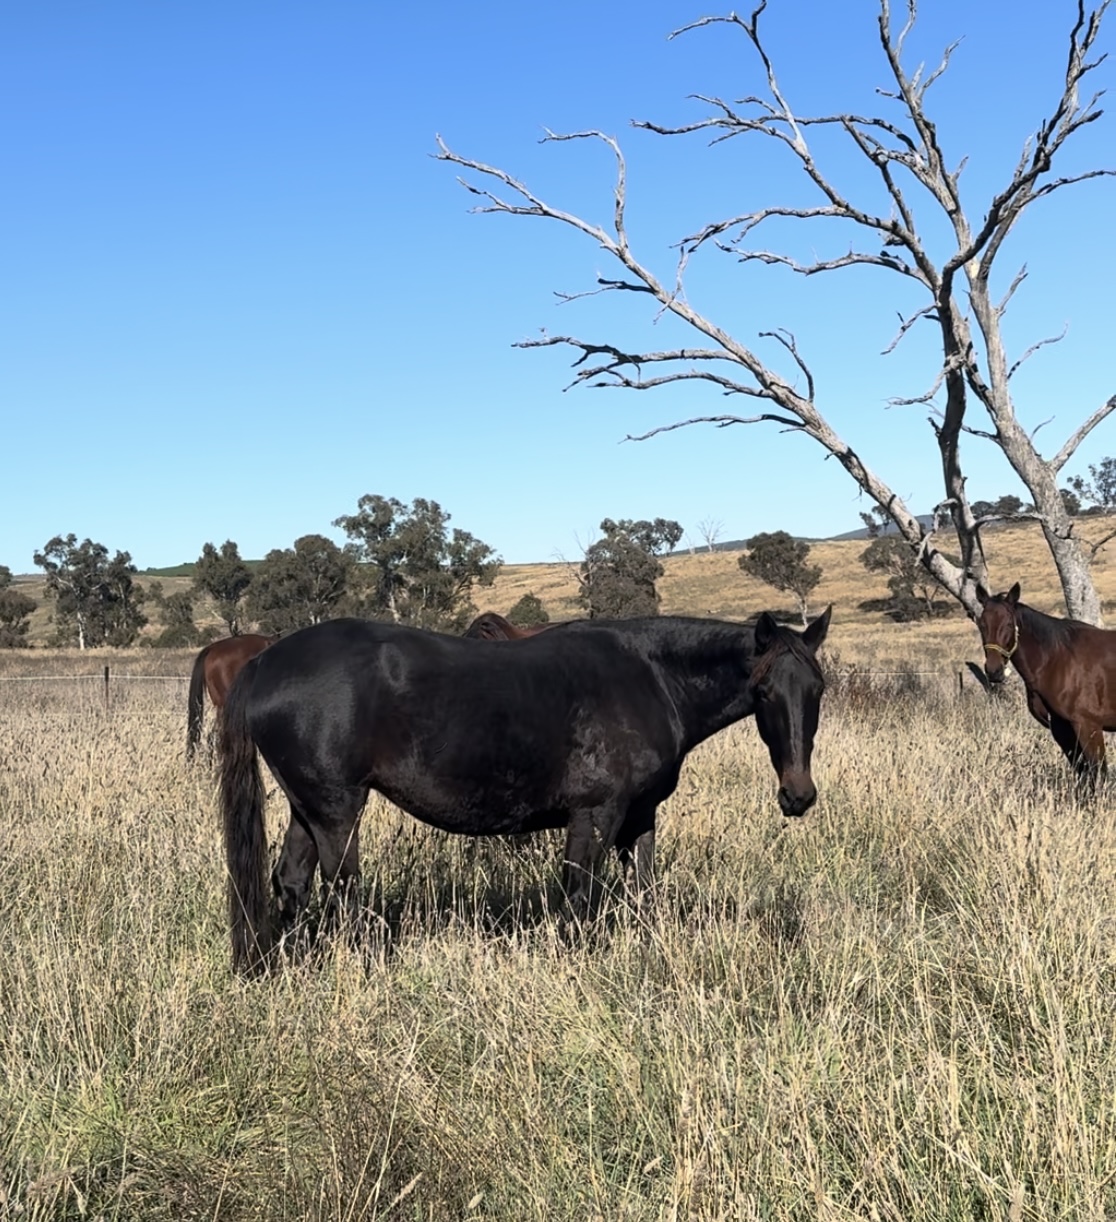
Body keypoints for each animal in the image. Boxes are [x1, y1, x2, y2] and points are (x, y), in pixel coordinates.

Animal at [218, 609, 831, 974]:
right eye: (765, 692)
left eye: (818, 689)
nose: (798, 795)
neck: (651, 678)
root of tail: (263, 660)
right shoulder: (595, 816)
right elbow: (580, 901)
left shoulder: (639, 818)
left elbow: (643, 893)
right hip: (337, 811)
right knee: (343, 894)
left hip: (308, 808)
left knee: (291, 883)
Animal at [976, 582, 1116, 788]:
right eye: (982, 624)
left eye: (1008, 623)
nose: (994, 671)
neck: (1058, 660)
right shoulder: (1060, 727)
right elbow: (1082, 772)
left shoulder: (1088, 725)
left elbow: (1097, 772)